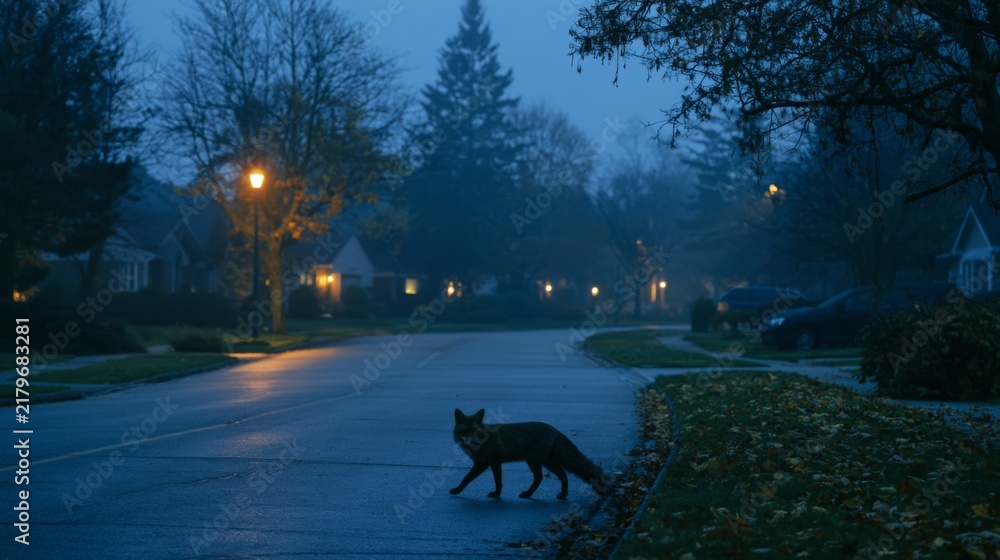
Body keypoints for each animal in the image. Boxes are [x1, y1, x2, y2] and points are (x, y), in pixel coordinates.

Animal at [449, 408, 610, 500]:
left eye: (475, 432)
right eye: (465, 432)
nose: (471, 442)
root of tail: (554, 429)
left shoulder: (487, 463)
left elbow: (469, 479)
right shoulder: (489, 463)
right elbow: (494, 481)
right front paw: (497, 494)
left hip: (534, 461)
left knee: (540, 477)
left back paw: (528, 494)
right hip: (547, 462)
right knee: (563, 475)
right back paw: (562, 495)